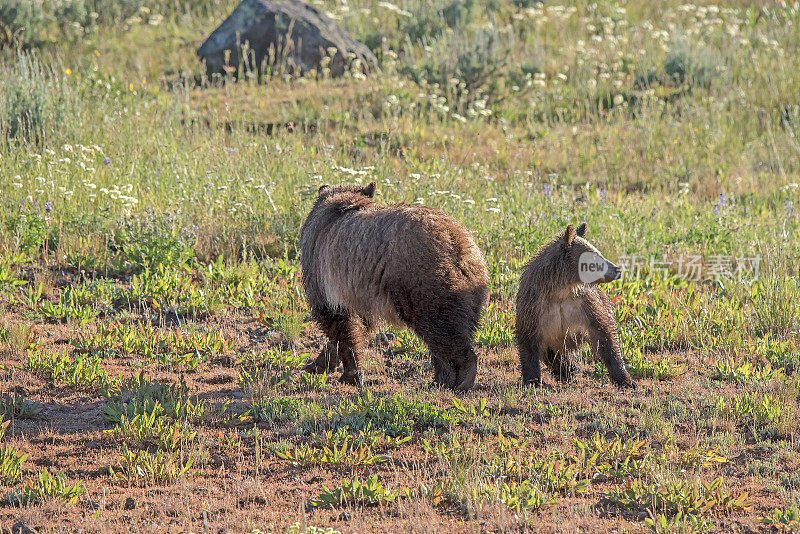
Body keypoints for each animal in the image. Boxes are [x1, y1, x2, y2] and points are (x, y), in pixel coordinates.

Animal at [300, 182, 488, 392]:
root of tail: (458, 243)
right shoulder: (358, 292)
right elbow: (358, 326)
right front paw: (319, 363)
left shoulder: (323, 272)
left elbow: (338, 324)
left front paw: (350, 374)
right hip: (471, 290)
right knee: (451, 331)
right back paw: (440, 380)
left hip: (421, 278)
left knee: (441, 328)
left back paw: (461, 379)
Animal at [516, 222, 636, 390]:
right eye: (594, 256)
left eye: (598, 252)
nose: (617, 269)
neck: (561, 290)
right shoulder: (534, 306)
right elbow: (528, 340)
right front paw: (532, 380)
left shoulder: (585, 305)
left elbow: (605, 335)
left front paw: (626, 379)